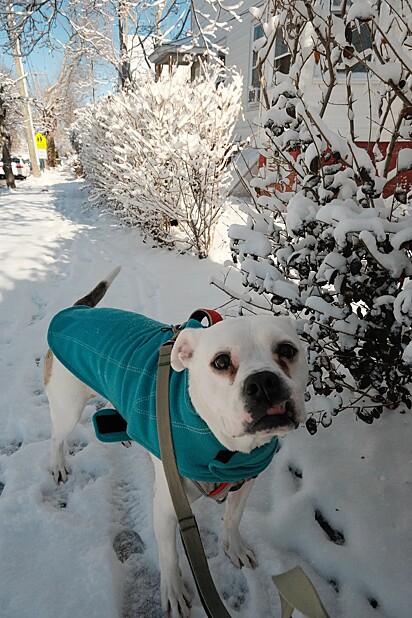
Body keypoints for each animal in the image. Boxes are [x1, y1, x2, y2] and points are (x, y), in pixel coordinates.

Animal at [45, 268, 308, 612]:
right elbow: (169, 554)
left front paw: (234, 547)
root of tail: (75, 311)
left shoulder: (246, 480)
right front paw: (172, 591)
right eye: (221, 362)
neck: (223, 446)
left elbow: (233, 518)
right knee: (57, 437)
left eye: (287, 350)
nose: (263, 382)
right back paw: (58, 463)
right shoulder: (169, 506)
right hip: (67, 406)